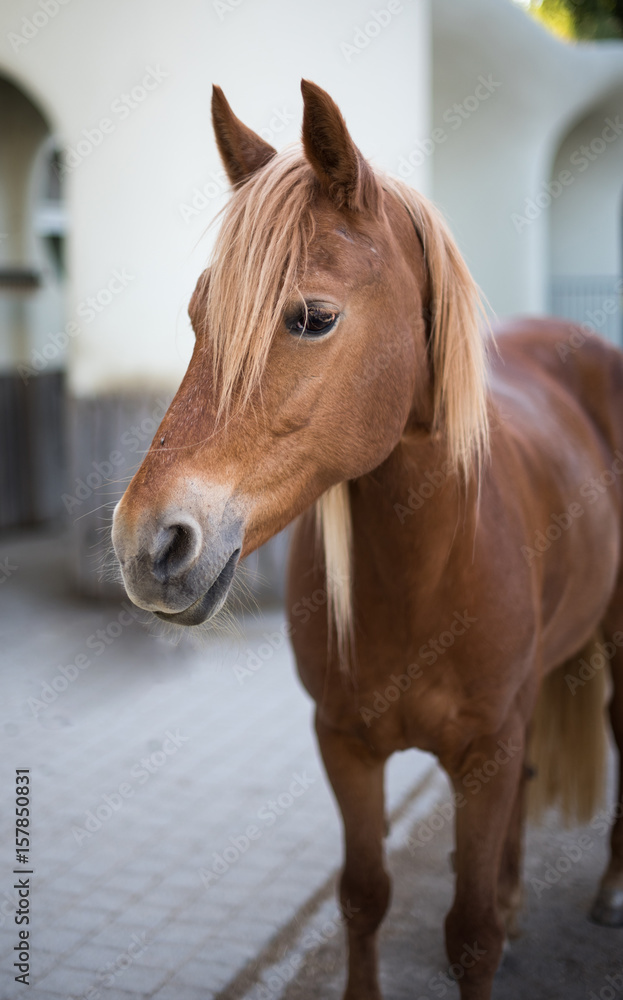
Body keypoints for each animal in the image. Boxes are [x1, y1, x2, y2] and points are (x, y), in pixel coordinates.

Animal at [111, 80, 623, 1000]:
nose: (147, 544)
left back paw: (605, 892)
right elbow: (362, 896)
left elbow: (468, 933)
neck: (426, 573)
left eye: (313, 317)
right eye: (199, 313)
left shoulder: (482, 752)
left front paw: (493, 922)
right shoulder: (345, 745)